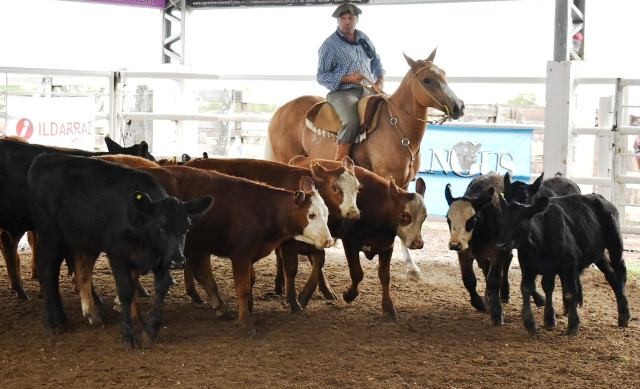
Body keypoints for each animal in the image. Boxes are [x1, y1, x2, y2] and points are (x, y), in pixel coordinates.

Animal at [264, 48, 464, 278]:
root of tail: (280, 111)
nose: (459, 106)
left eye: (444, 75)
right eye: (427, 80)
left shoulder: (405, 183)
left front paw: (411, 265)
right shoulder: (388, 178)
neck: (397, 127)